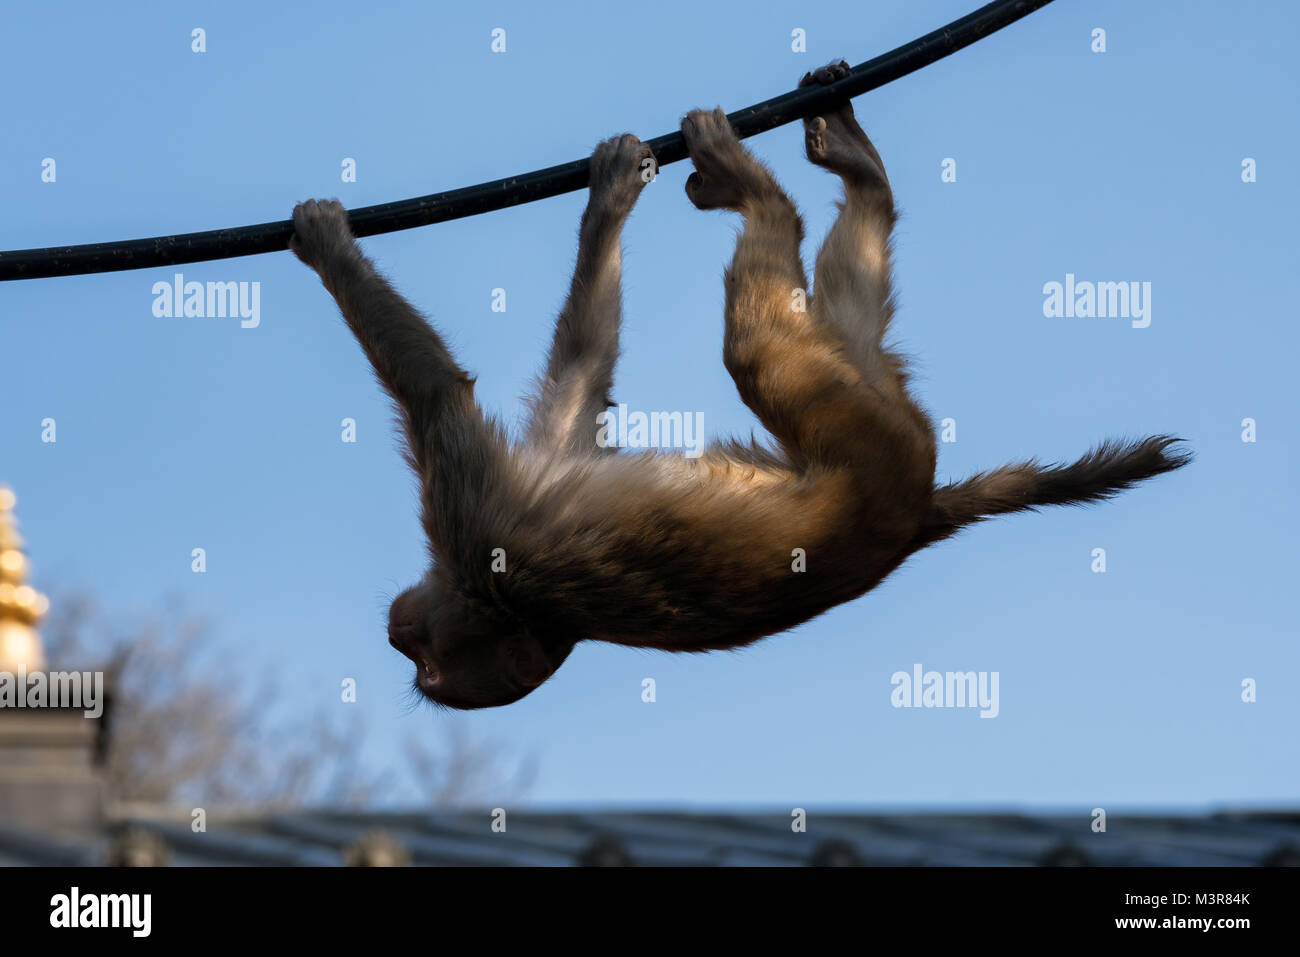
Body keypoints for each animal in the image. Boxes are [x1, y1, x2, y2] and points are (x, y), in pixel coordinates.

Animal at [289, 60, 1190, 710]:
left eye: (425, 660)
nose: (396, 633)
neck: (525, 606)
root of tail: (916, 515)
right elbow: (579, 376)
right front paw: (612, 203)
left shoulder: (476, 527)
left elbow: (442, 393)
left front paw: (328, 246)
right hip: (874, 408)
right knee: (812, 329)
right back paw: (852, 180)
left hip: (864, 433)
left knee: (757, 343)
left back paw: (754, 184)